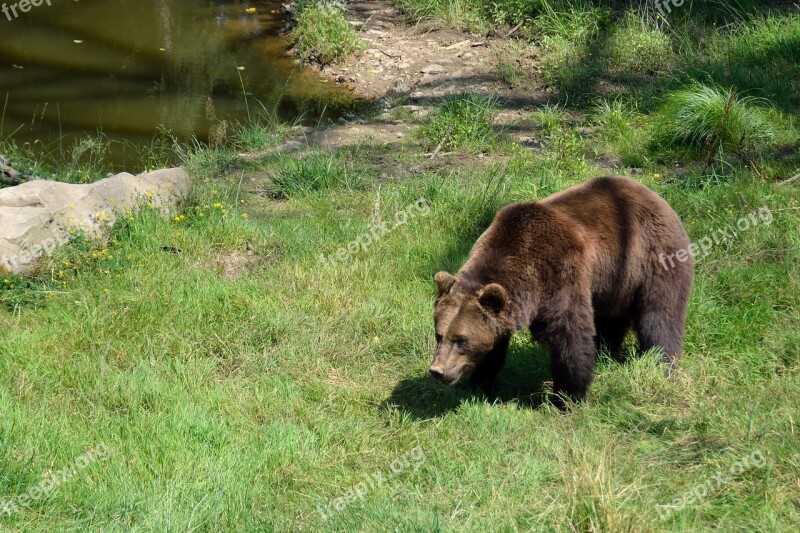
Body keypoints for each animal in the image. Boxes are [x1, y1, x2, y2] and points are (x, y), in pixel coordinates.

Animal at [432, 177, 692, 406]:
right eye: (439, 334)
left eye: (461, 339)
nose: (437, 371)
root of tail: (657, 197)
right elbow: (495, 344)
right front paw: (479, 384)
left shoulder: (559, 273)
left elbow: (569, 333)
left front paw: (567, 396)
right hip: (615, 283)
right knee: (610, 320)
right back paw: (606, 353)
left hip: (653, 259)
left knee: (659, 317)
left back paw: (661, 363)